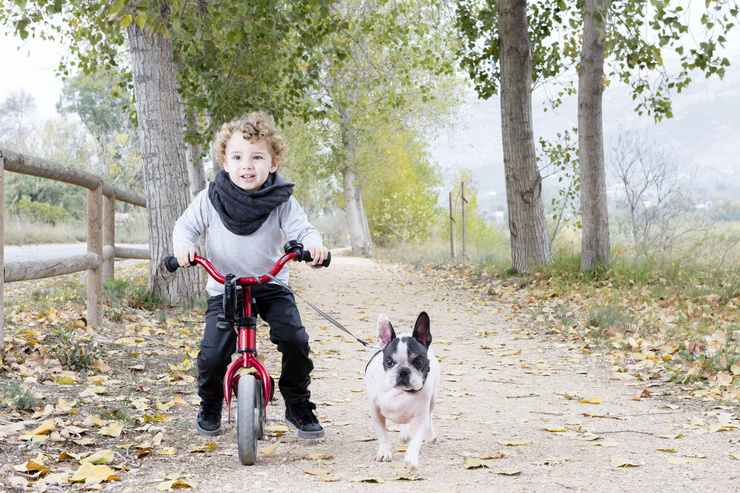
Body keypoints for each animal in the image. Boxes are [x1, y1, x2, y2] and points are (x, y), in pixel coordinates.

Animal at [364, 314, 440, 468]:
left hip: (432, 400)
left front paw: (411, 458)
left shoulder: (420, 416)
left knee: (429, 416)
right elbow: (383, 434)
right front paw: (384, 452)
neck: (401, 392)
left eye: (418, 361)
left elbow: (416, 439)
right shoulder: (376, 412)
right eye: (389, 362)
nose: (403, 371)